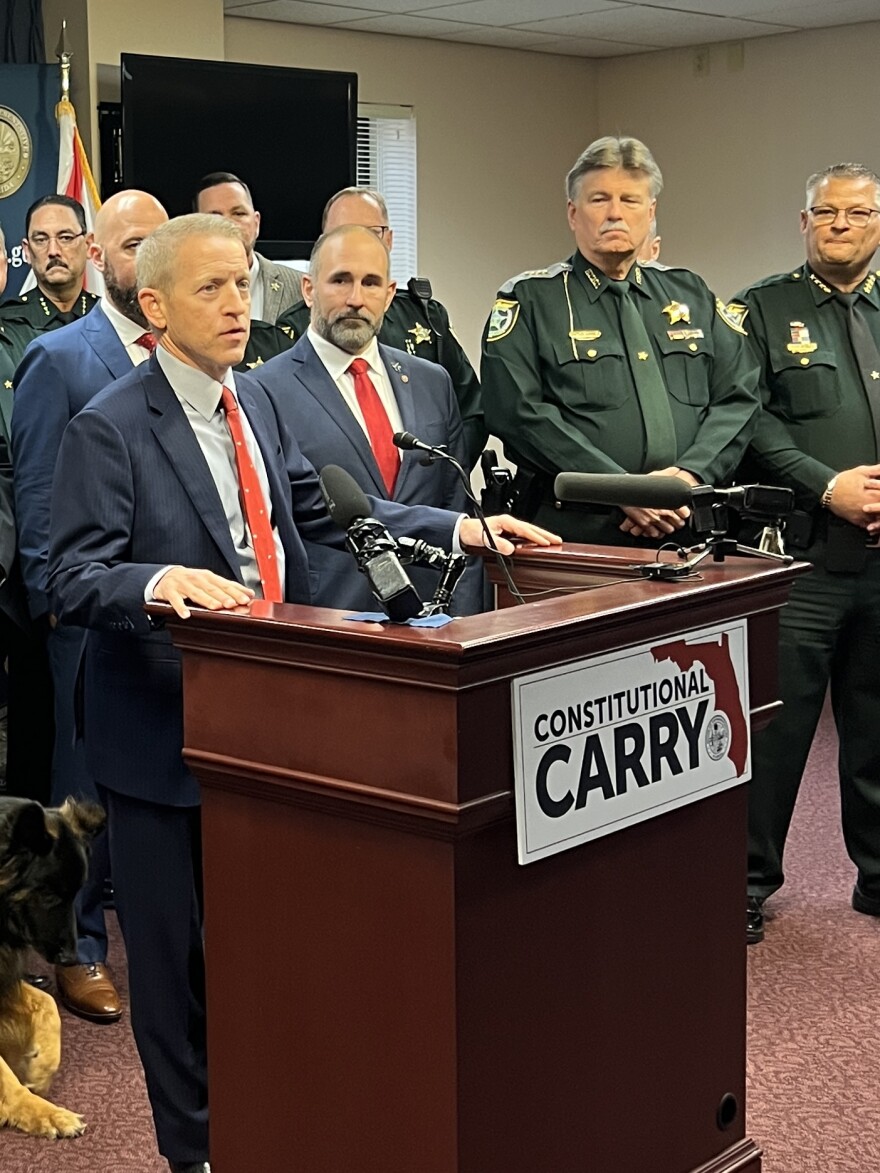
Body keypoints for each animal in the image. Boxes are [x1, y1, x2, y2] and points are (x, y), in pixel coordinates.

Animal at [0, 797, 105, 1135]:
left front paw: (41, 1071)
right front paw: (41, 1112)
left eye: (76, 892)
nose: (72, 958)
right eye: (46, 894)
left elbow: (48, 1003)